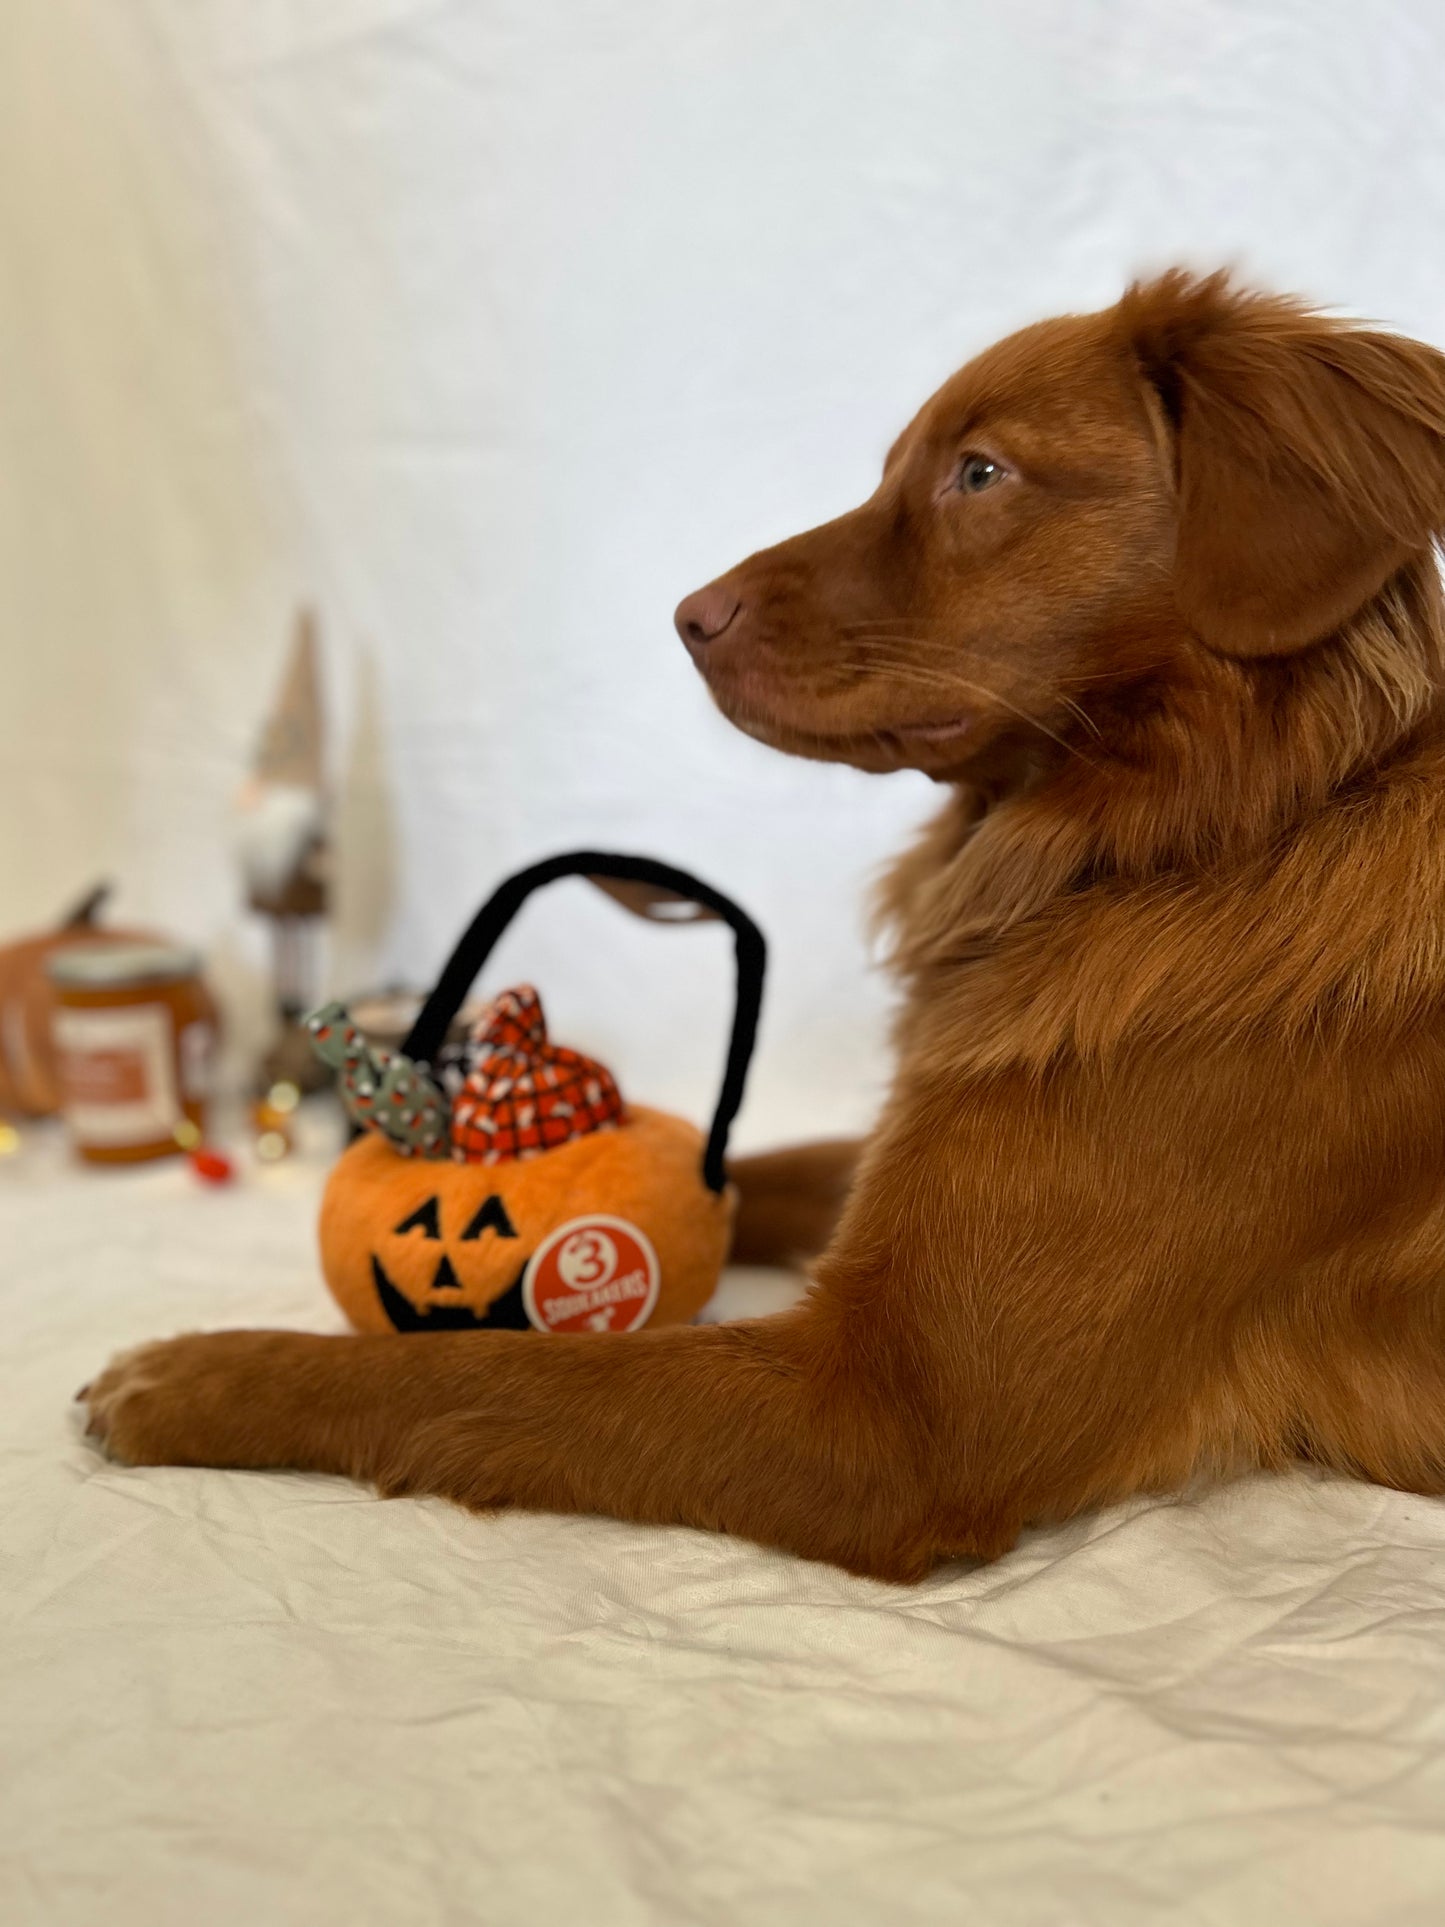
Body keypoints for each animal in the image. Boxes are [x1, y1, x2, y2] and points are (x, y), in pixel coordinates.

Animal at [81, 271, 1445, 1580]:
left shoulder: (886, 1421)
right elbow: (740, 1169)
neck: (1199, 837)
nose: (689, 616)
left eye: (978, 473)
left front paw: (196, 1371)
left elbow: (470, 1363)